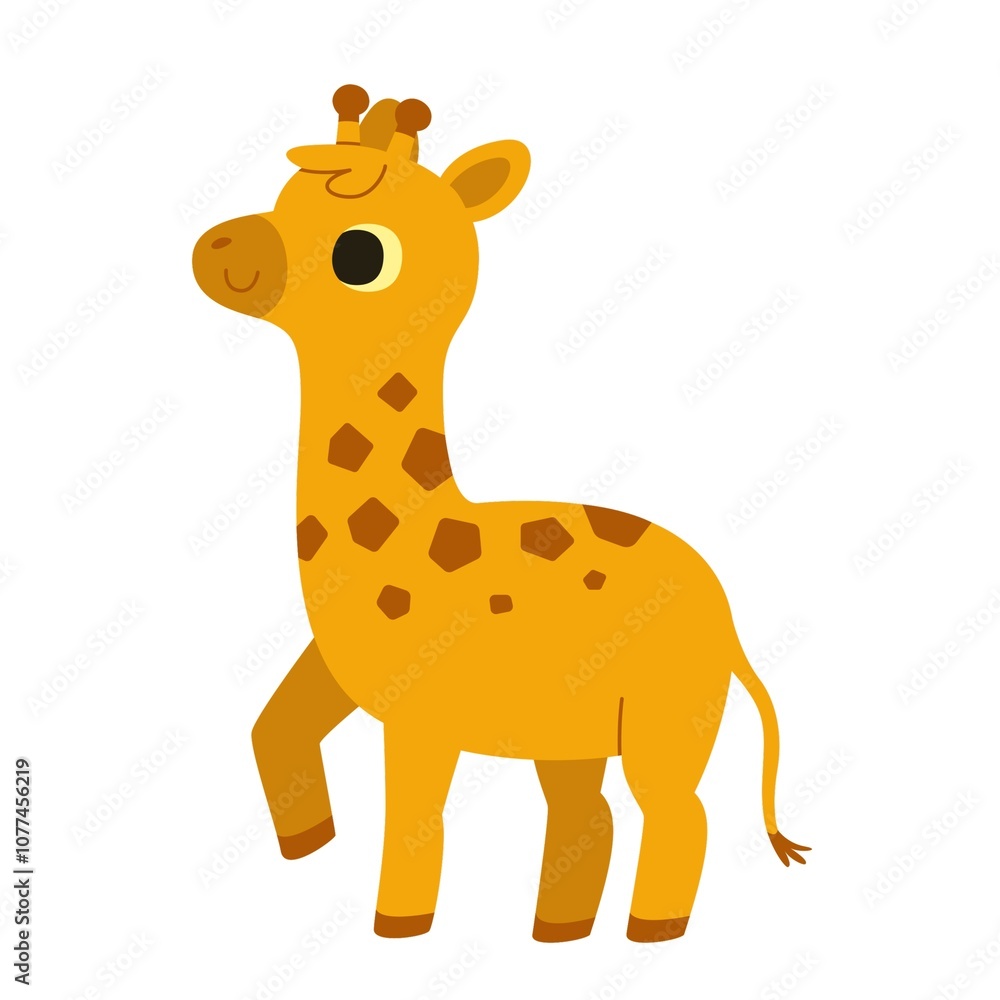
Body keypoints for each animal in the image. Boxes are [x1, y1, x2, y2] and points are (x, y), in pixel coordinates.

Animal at [192, 85, 809, 943]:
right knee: (592, 815)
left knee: (676, 813)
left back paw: (649, 932)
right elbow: (270, 726)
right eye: (282, 198)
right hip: (579, 728)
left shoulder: (422, 710)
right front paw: (307, 843)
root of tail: (728, 619)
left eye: (360, 254)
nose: (217, 248)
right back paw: (559, 933)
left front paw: (397, 926)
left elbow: (413, 820)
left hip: (670, 711)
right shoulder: (340, 665)